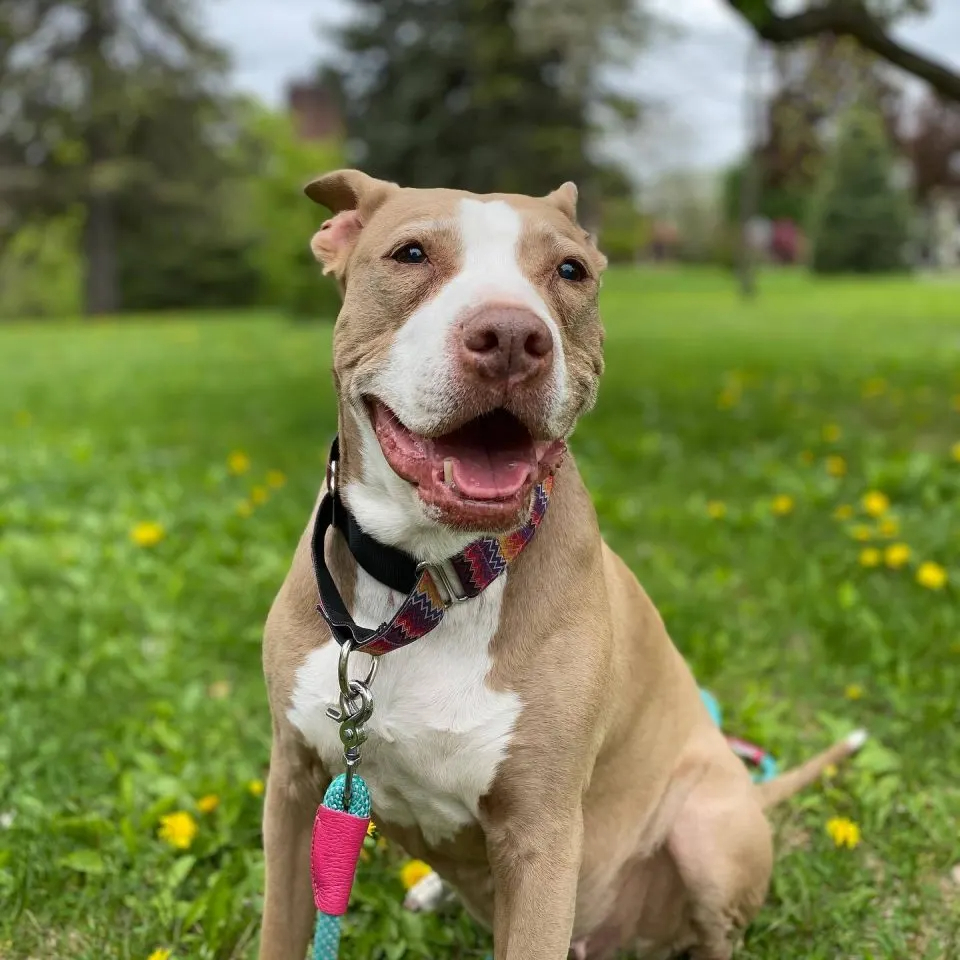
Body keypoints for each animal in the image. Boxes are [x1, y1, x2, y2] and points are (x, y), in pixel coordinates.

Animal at [258, 169, 868, 956]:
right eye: (411, 253)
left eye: (571, 270)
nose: (511, 338)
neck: (427, 584)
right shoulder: (295, 788)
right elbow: (279, 929)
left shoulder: (541, 834)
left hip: (707, 831)